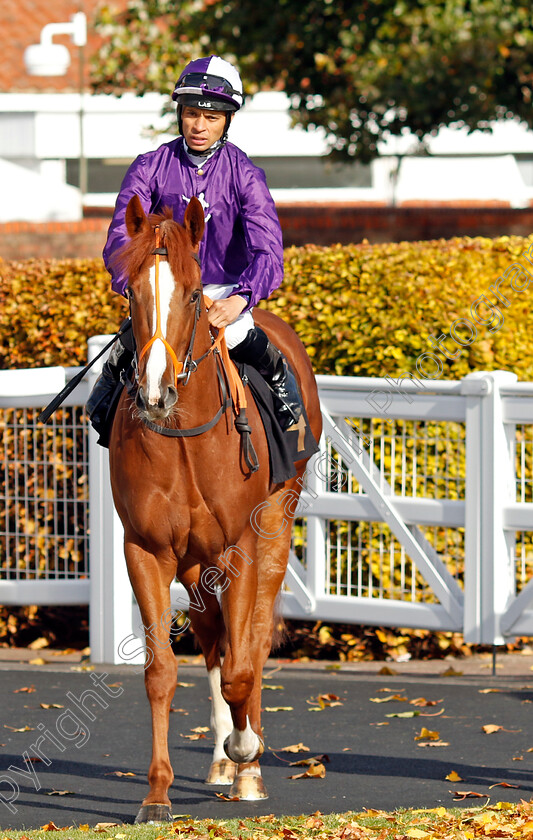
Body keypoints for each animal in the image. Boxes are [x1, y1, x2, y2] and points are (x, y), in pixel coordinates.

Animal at [109, 195, 320, 820]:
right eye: (132, 291)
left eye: (192, 293)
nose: (155, 392)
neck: (184, 439)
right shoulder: (146, 550)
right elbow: (161, 671)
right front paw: (157, 794)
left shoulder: (239, 548)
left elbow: (242, 664)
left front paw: (247, 749)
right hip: (192, 563)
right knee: (212, 641)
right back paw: (223, 760)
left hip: (272, 532)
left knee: (251, 637)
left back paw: (246, 761)